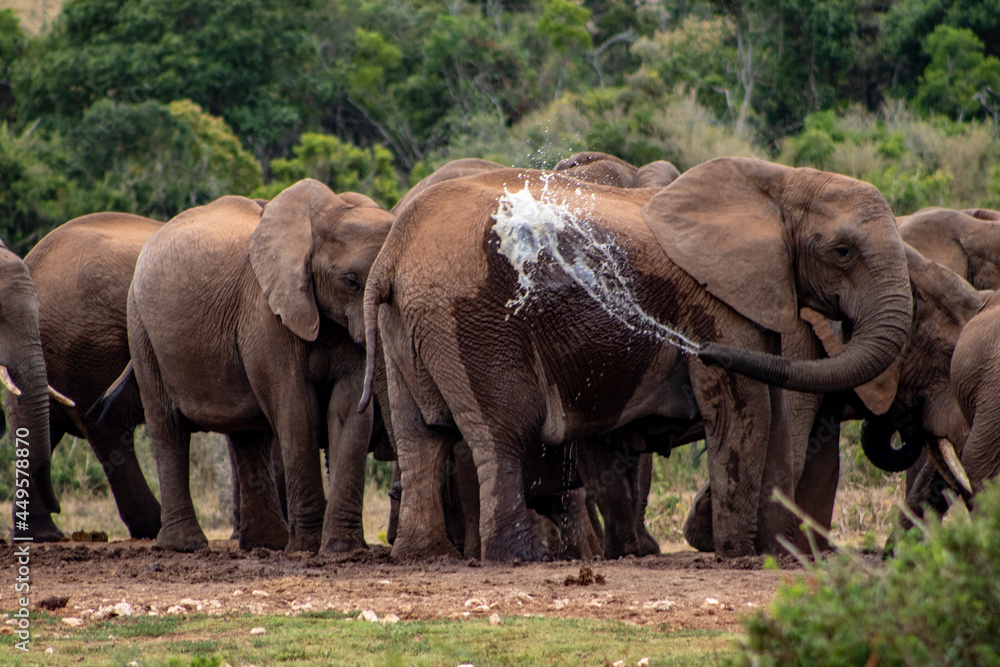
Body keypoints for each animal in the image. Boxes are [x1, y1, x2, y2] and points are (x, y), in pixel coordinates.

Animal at [126, 179, 392, 553]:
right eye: (351, 282)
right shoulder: (264, 313)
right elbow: (297, 411)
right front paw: (306, 549)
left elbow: (347, 411)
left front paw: (343, 550)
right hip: (141, 327)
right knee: (167, 426)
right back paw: (185, 546)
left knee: (245, 433)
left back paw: (266, 543)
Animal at [359, 156, 912, 561]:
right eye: (843, 252)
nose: (696, 349)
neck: (780, 182)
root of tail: (391, 254)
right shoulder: (714, 300)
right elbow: (743, 410)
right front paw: (738, 555)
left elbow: (770, 408)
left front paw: (773, 554)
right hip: (475, 319)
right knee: (503, 433)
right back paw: (520, 558)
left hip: (405, 323)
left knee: (421, 437)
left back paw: (423, 556)